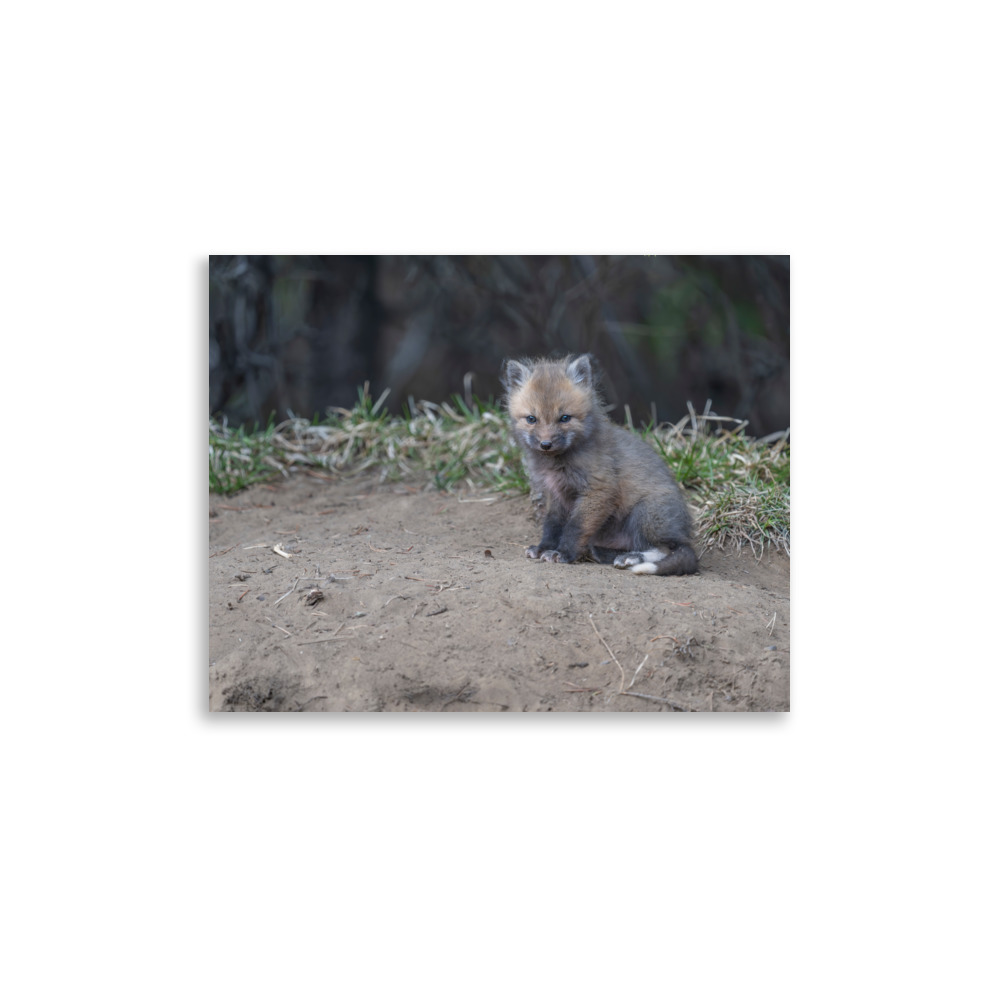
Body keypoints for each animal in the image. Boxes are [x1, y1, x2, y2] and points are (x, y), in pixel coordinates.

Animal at [501, 353, 698, 576]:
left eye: (564, 418)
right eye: (532, 419)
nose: (546, 444)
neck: (557, 464)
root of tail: (684, 531)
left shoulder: (598, 489)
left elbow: (575, 527)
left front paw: (563, 553)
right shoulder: (556, 494)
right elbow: (552, 525)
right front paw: (544, 548)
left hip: (644, 514)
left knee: (667, 549)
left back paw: (631, 558)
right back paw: (603, 553)